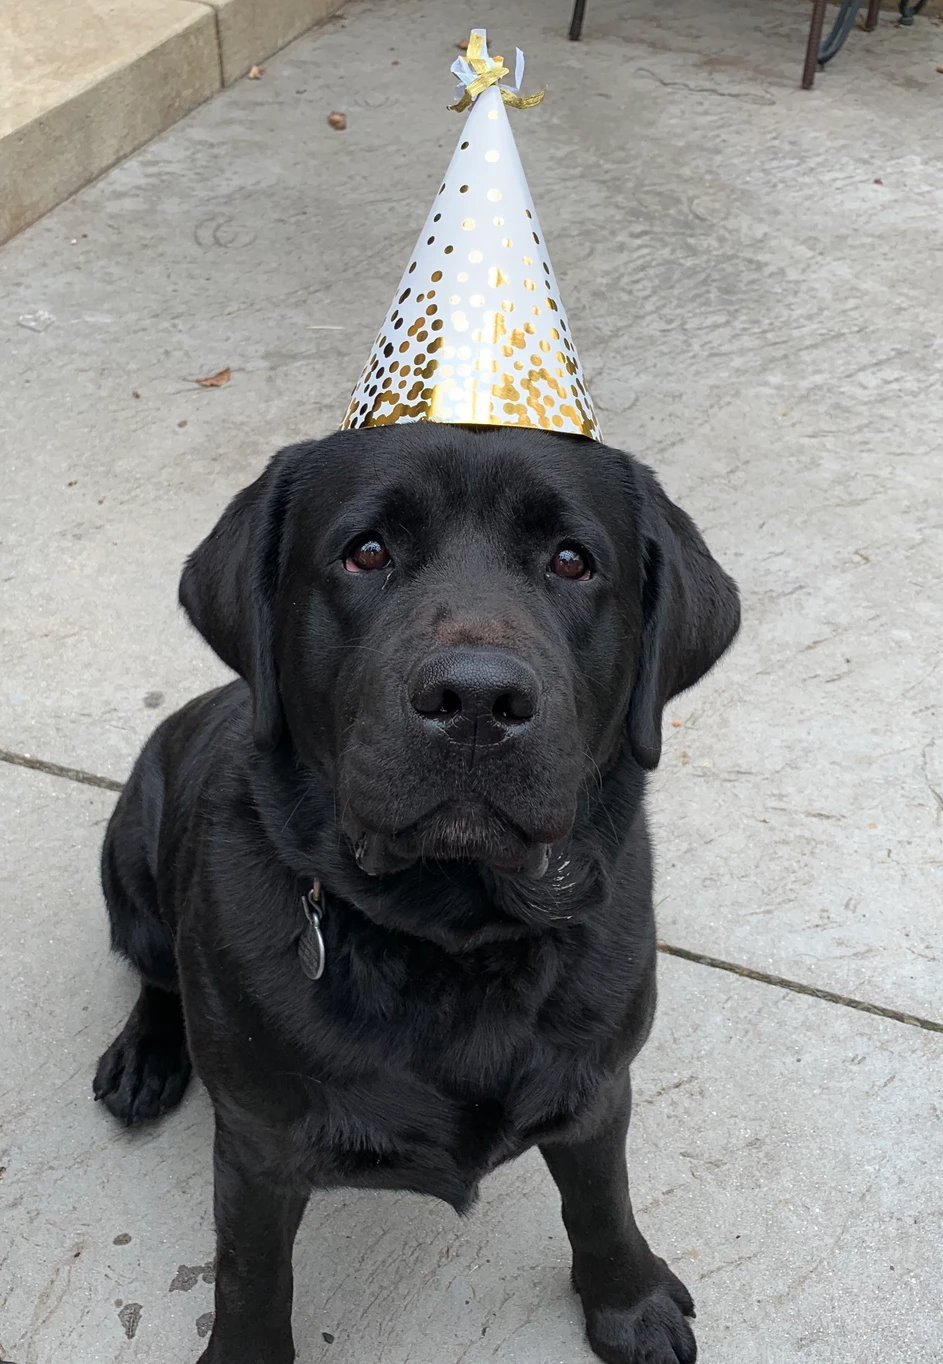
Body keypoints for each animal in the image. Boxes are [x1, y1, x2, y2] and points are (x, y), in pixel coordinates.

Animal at [97, 420, 747, 1358]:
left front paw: (629, 1302)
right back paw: (144, 1058)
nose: (475, 699)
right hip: (131, 856)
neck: (450, 940)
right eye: (366, 553)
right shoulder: (257, 1143)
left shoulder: (595, 1085)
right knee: (155, 972)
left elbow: (601, 1201)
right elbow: (251, 1276)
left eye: (572, 561)